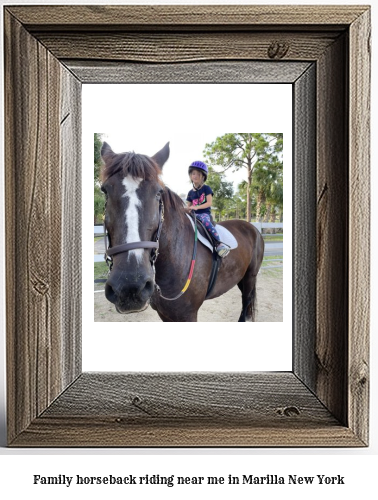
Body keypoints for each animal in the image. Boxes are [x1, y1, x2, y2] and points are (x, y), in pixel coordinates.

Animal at [101, 141, 266, 322]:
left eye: (158, 192)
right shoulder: (165, 314)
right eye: (105, 190)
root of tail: (253, 228)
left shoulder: (188, 315)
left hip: (251, 276)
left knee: (247, 302)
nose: (130, 287)